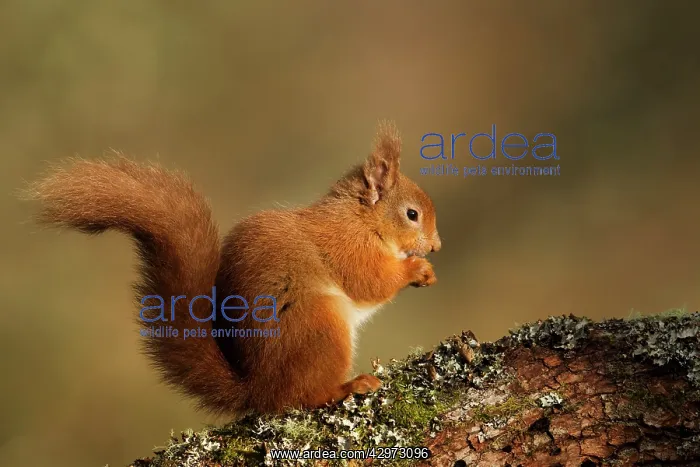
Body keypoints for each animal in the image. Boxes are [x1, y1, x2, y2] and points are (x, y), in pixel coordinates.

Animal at [25, 121, 441, 416]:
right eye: (412, 214)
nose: (436, 246)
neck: (360, 219)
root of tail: (258, 389)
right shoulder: (348, 248)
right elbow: (370, 283)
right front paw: (416, 270)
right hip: (320, 325)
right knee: (304, 397)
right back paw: (348, 386)